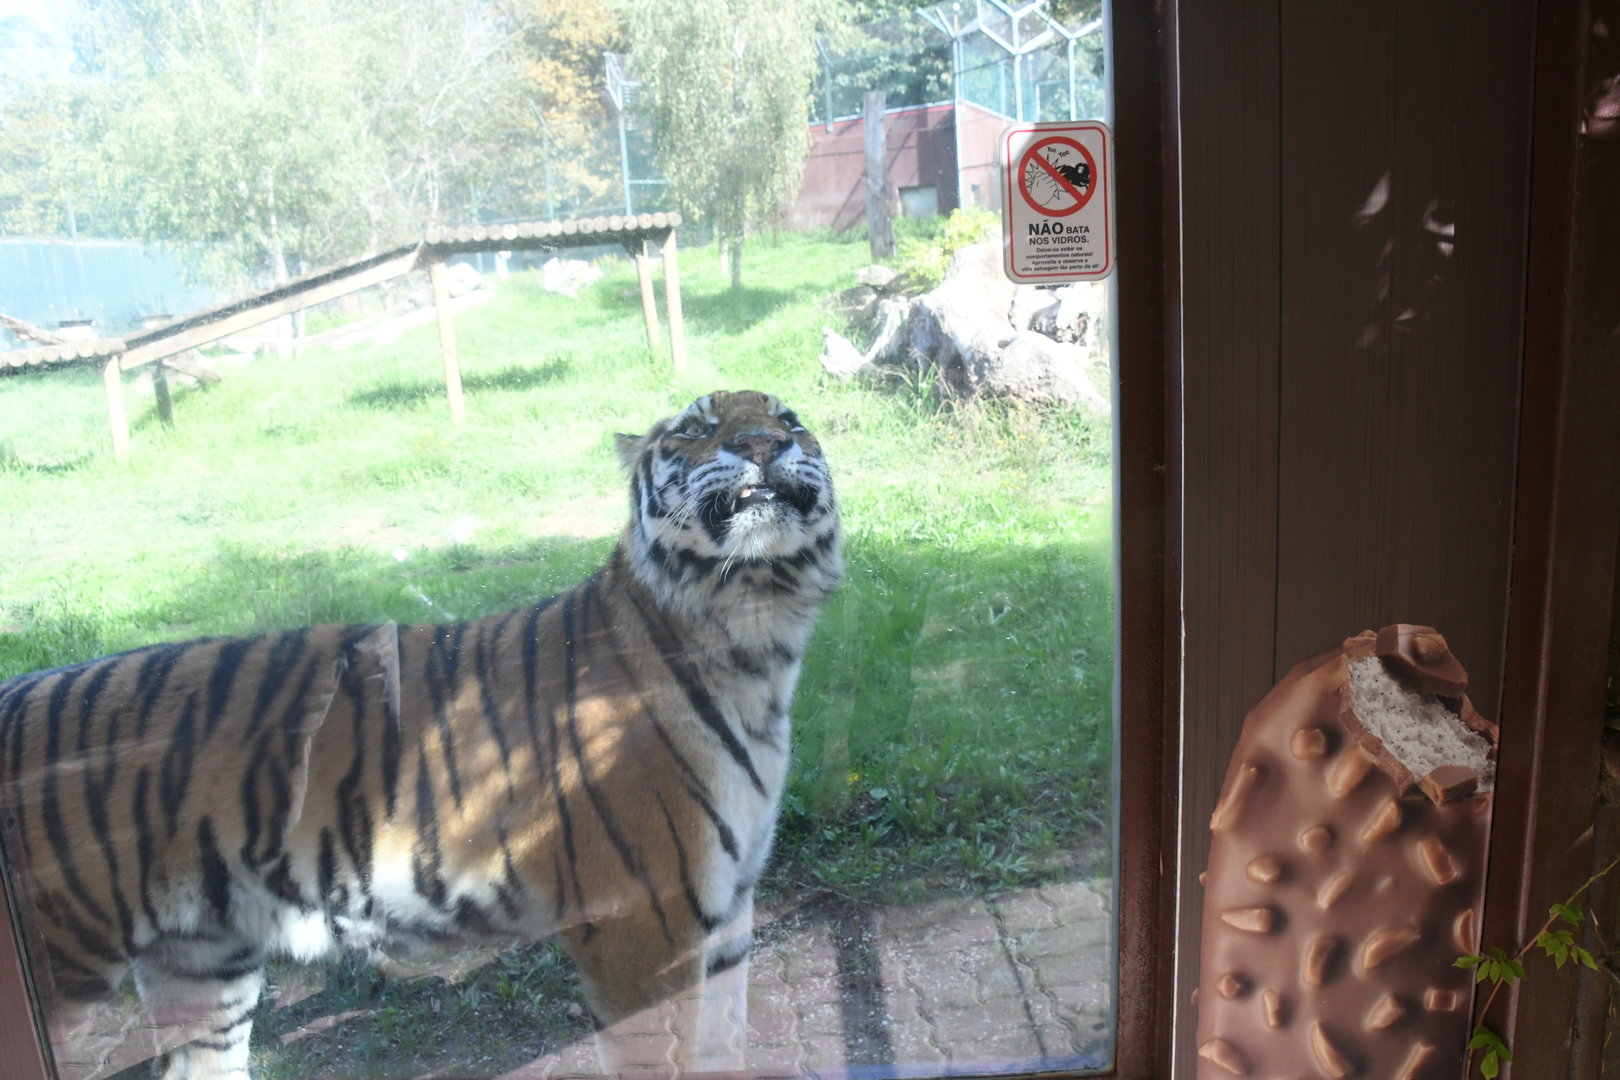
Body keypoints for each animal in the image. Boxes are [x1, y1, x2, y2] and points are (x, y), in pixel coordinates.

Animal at [0, 389, 842, 1080]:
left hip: (203, 965)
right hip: (65, 963)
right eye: (696, 428)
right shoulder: (644, 925)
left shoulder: (727, 917)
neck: (755, 639)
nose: (764, 443)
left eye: (791, 419)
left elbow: (724, 1048)